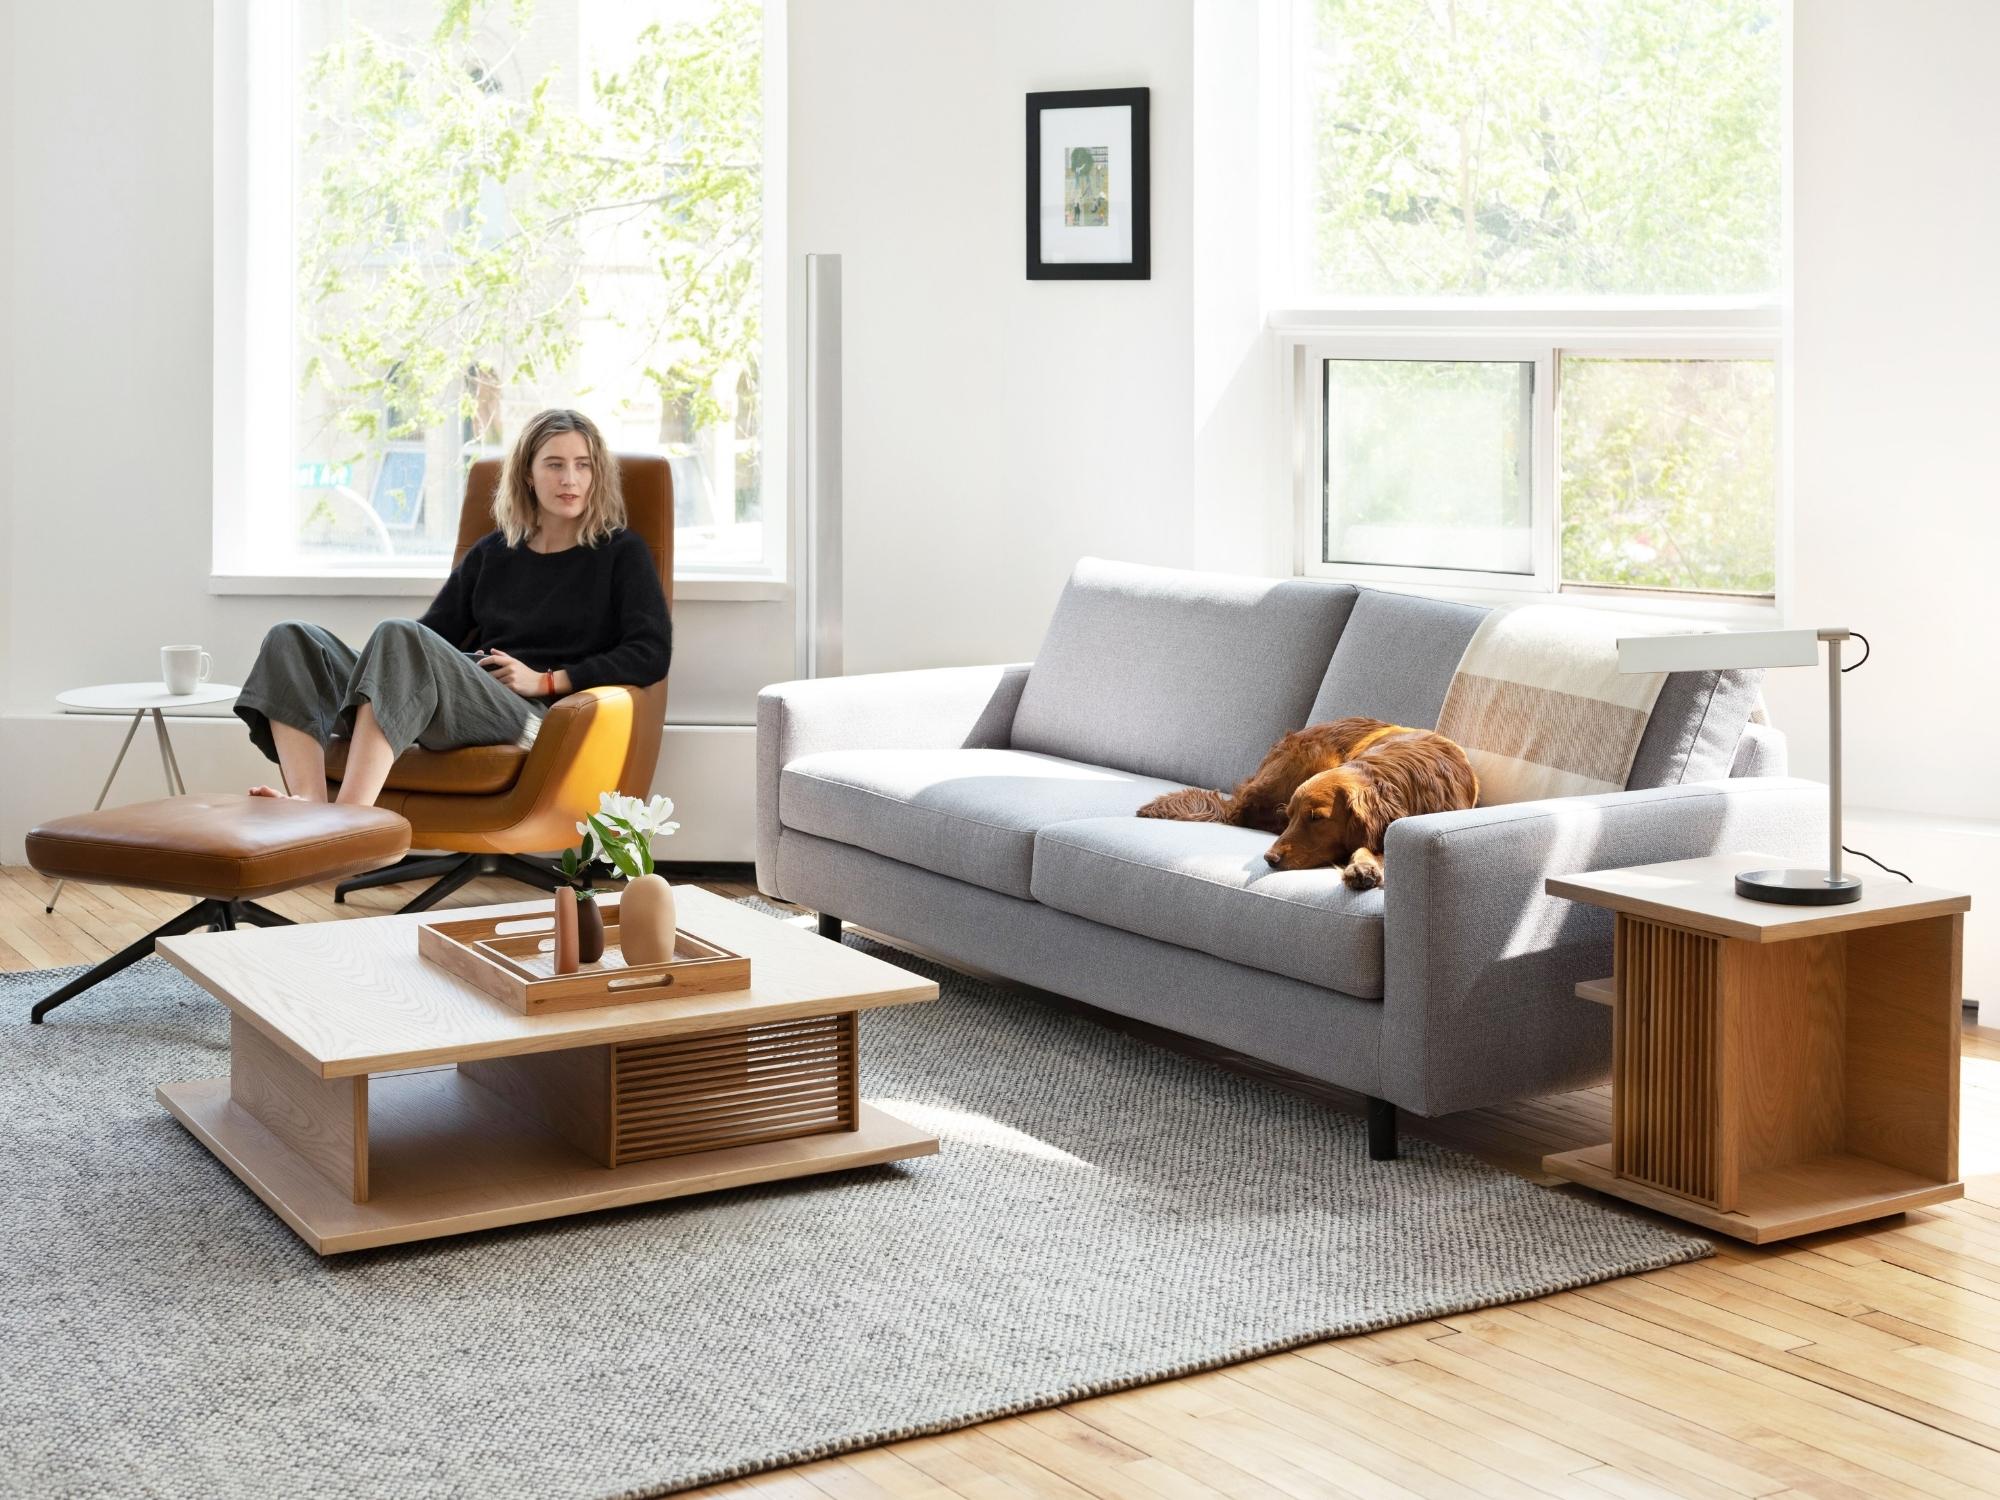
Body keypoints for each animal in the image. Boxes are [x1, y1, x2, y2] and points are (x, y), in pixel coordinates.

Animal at [1136, 720, 1480, 892]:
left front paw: (1365, 867)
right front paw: (1362, 866)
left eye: (1316, 817)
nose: (1270, 858)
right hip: (1315, 755)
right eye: (1291, 816)